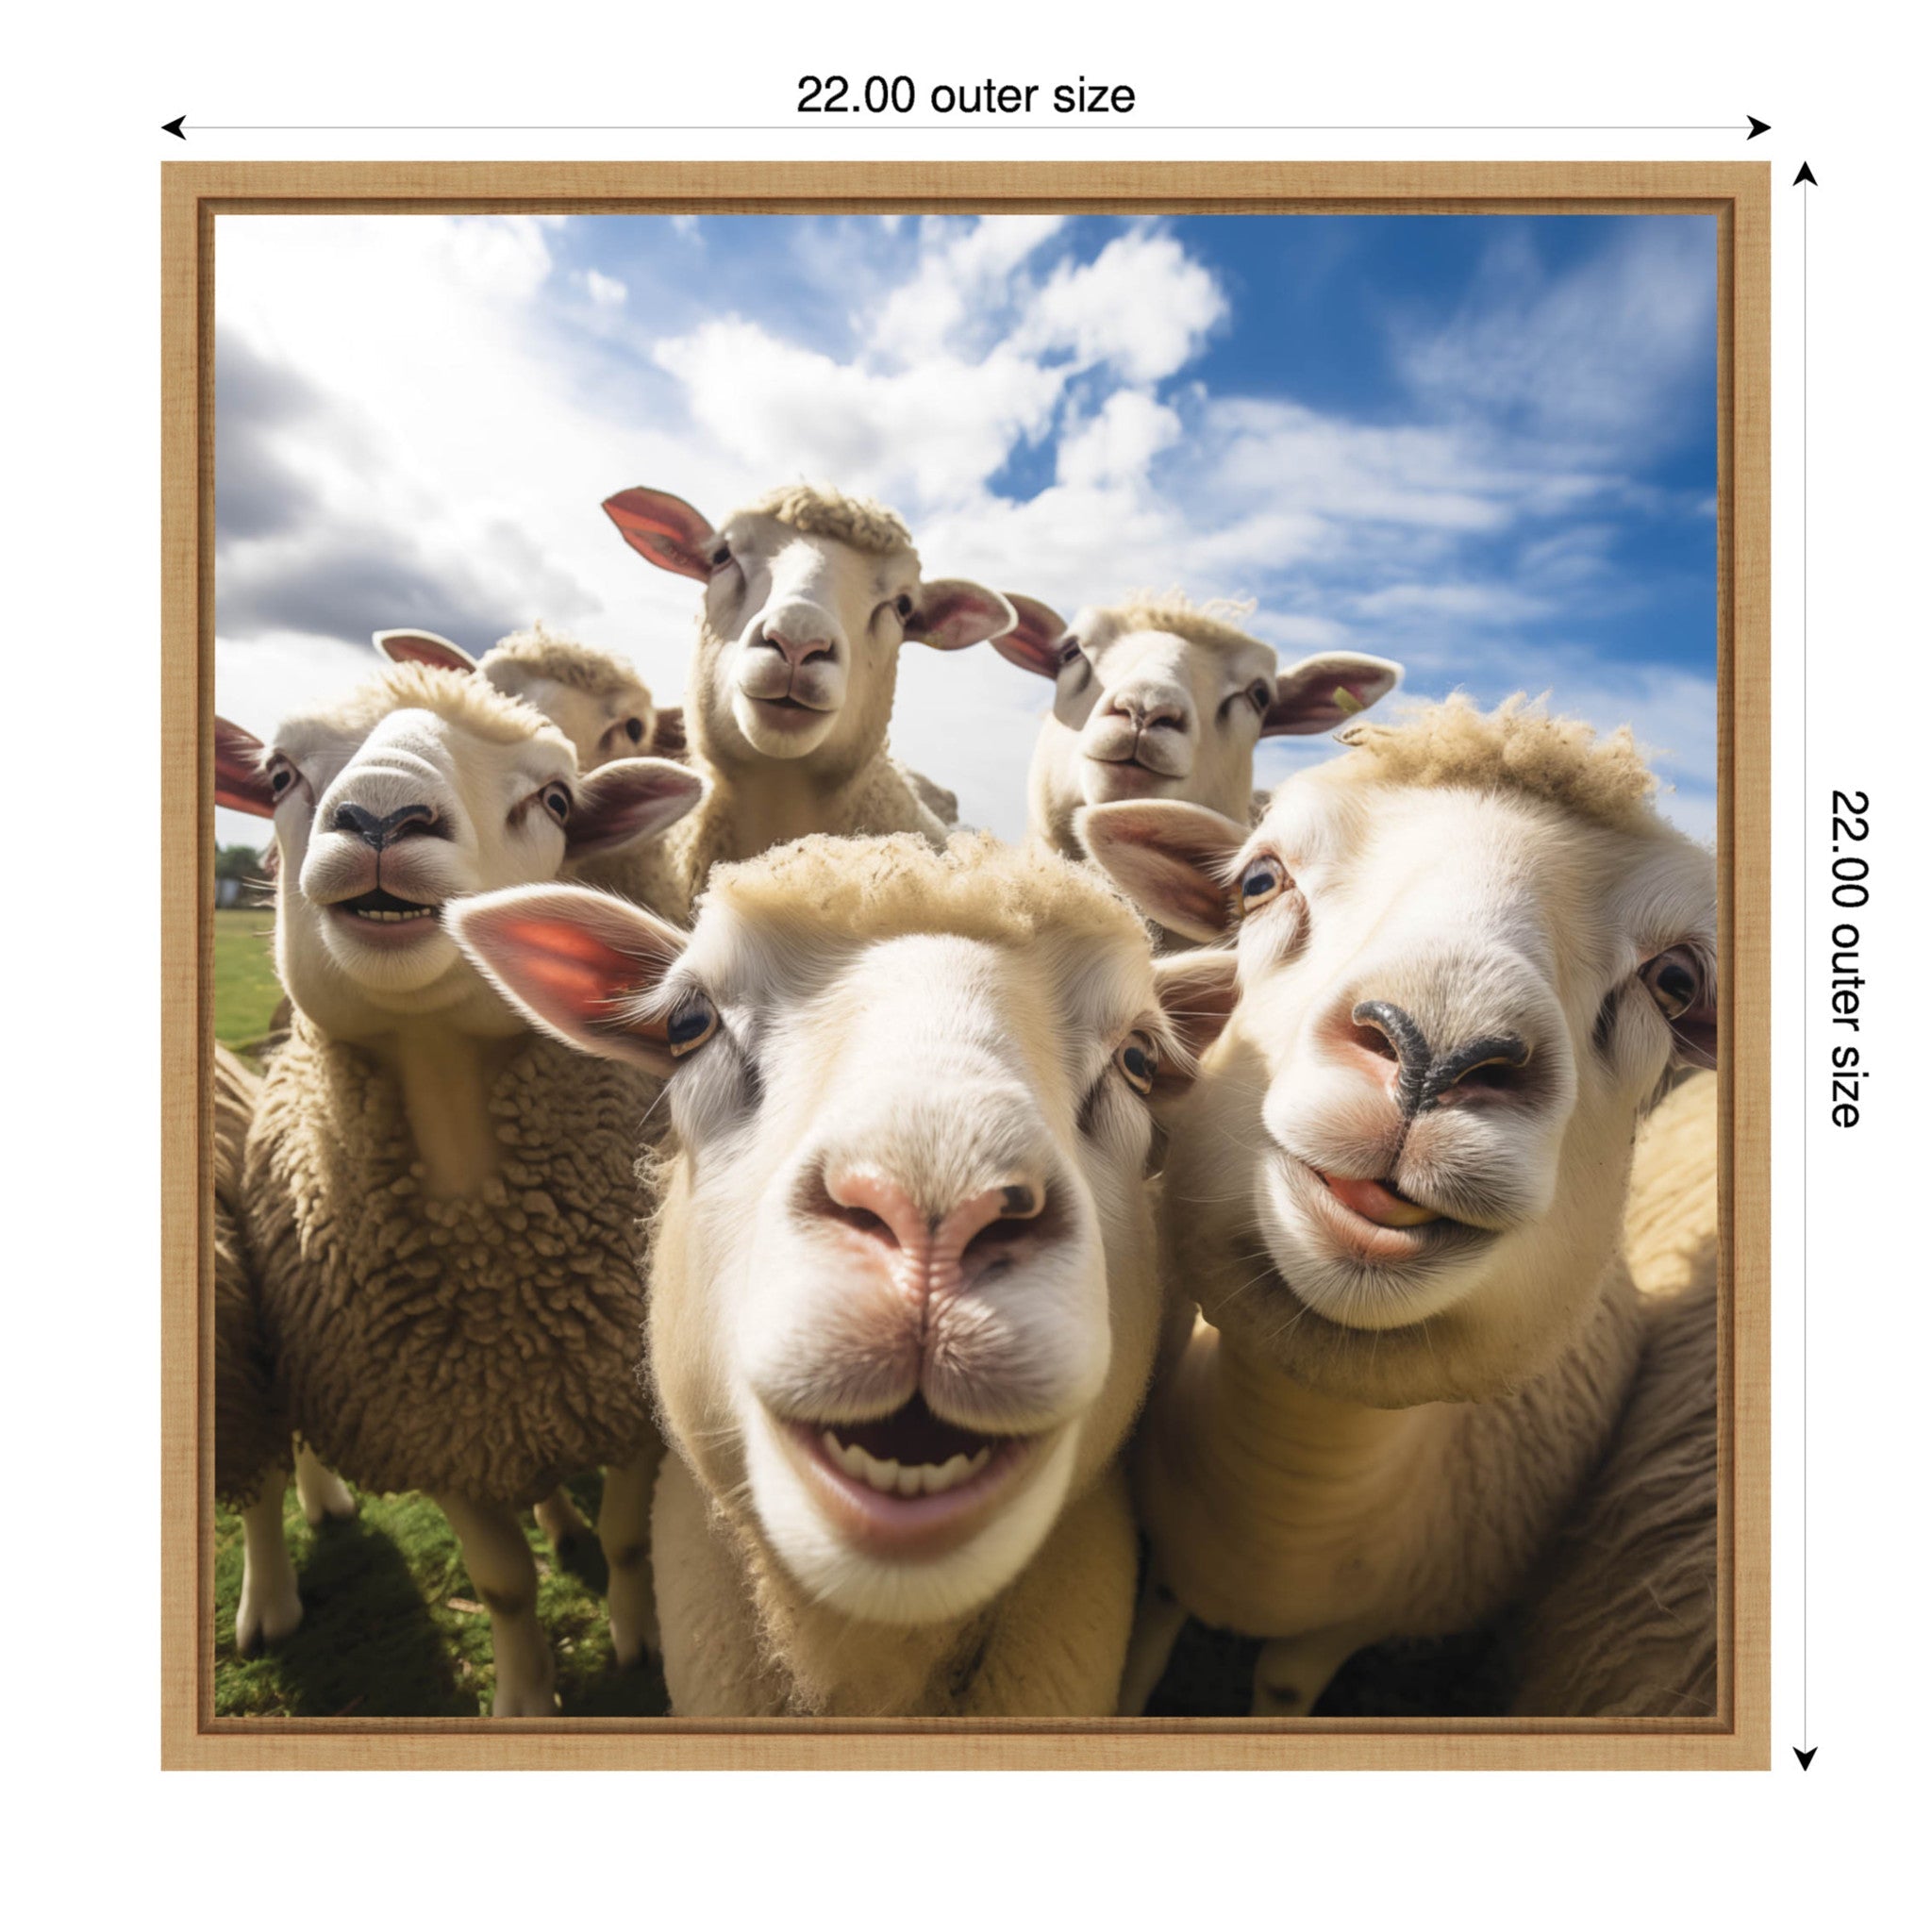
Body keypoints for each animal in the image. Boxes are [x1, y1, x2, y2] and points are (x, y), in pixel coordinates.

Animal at [215, 662, 707, 1714]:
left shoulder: (629, 1404)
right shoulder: (434, 1428)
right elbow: (502, 1583)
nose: (380, 818)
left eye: (554, 799)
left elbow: (628, 1537)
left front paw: (639, 1640)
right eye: (278, 775)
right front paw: (523, 1698)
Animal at [1079, 695, 1719, 1717]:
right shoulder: (1165, 1564)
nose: (1436, 1051)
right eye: (1260, 879)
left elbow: (1283, 1688)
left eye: (1676, 981)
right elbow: (1139, 1660)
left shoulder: (1337, 1632)